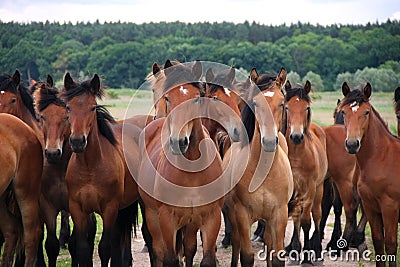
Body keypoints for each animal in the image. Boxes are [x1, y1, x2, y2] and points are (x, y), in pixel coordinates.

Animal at [60, 73, 140, 267]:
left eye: (93, 107)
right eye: (68, 107)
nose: (77, 141)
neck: (89, 167)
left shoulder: (109, 209)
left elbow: (105, 248)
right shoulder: (78, 210)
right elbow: (82, 248)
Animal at [138, 60, 225, 267]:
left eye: (196, 98)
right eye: (168, 98)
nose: (179, 141)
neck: (192, 171)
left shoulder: (211, 218)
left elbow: (204, 258)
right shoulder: (167, 220)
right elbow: (170, 259)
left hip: (190, 223)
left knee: (189, 249)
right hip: (153, 217)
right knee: (158, 251)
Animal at [340, 82, 400, 267]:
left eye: (366, 112)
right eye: (343, 112)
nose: (352, 144)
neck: (380, 157)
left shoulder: (390, 207)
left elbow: (390, 244)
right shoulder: (370, 206)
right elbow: (379, 242)